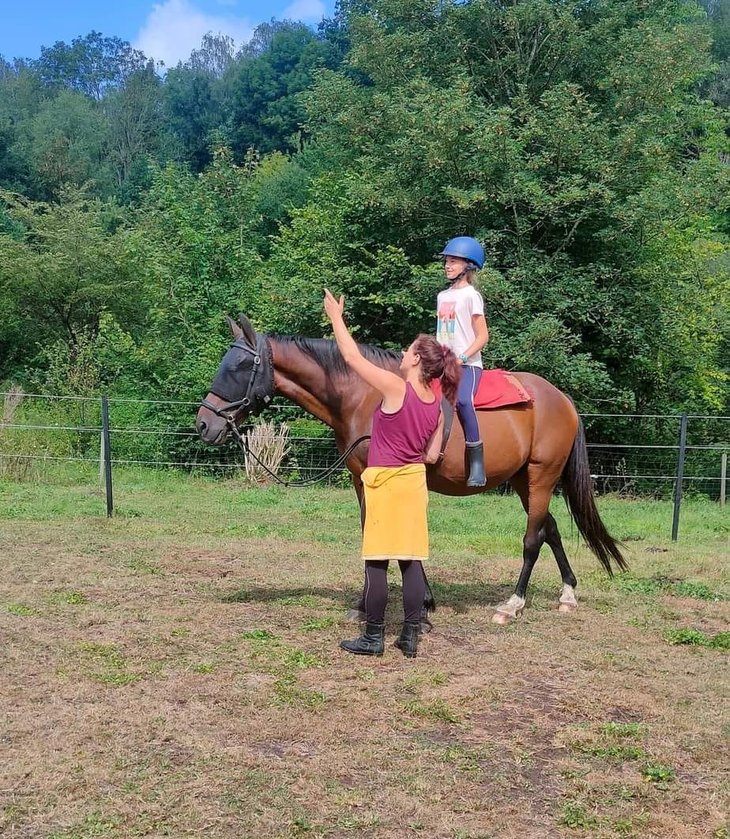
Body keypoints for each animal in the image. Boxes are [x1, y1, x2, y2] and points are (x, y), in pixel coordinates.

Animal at [196, 315, 627, 625]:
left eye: (238, 366)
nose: (203, 424)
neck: (367, 396)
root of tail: (562, 399)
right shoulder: (362, 479)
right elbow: (377, 532)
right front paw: (408, 600)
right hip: (525, 480)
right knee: (550, 529)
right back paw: (567, 594)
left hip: (541, 476)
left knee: (533, 539)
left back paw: (512, 604)